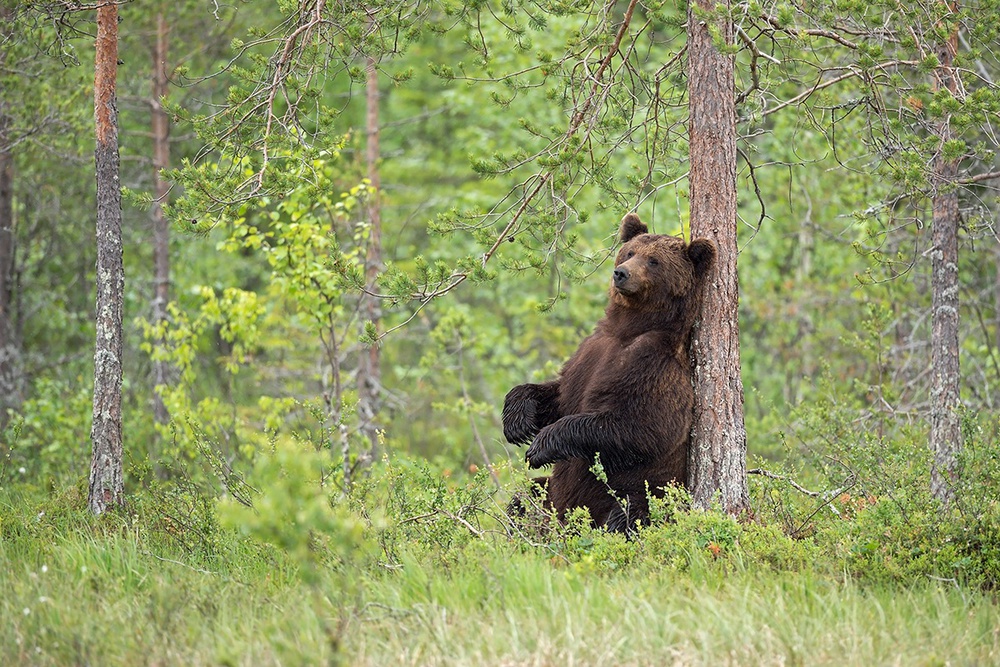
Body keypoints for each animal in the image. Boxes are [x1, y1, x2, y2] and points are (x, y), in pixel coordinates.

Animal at [504, 213, 716, 532]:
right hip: (550, 495)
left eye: (653, 261)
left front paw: (540, 446)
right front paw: (517, 421)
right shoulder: (589, 354)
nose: (621, 273)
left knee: (630, 513)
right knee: (523, 497)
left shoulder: (653, 365)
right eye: (629, 252)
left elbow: (641, 426)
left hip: (641, 495)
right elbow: (559, 395)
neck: (627, 327)